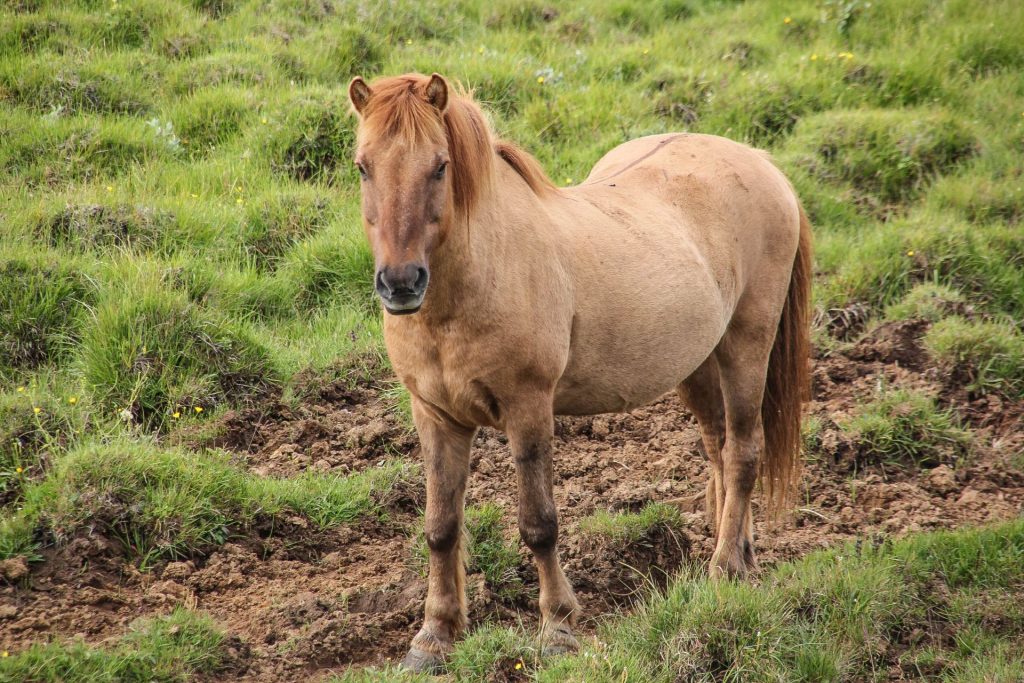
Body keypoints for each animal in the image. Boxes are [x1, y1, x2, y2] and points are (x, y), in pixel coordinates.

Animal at [348, 72, 811, 671]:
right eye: (363, 166)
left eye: (440, 166)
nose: (400, 284)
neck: (481, 275)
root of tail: (759, 161)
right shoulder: (435, 415)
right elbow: (440, 527)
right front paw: (434, 638)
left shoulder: (528, 408)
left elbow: (539, 524)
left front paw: (558, 630)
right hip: (696, 362)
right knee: (720, 449)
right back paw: (741, 553)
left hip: (746, 345)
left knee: (745, 451)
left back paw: (724, 569)